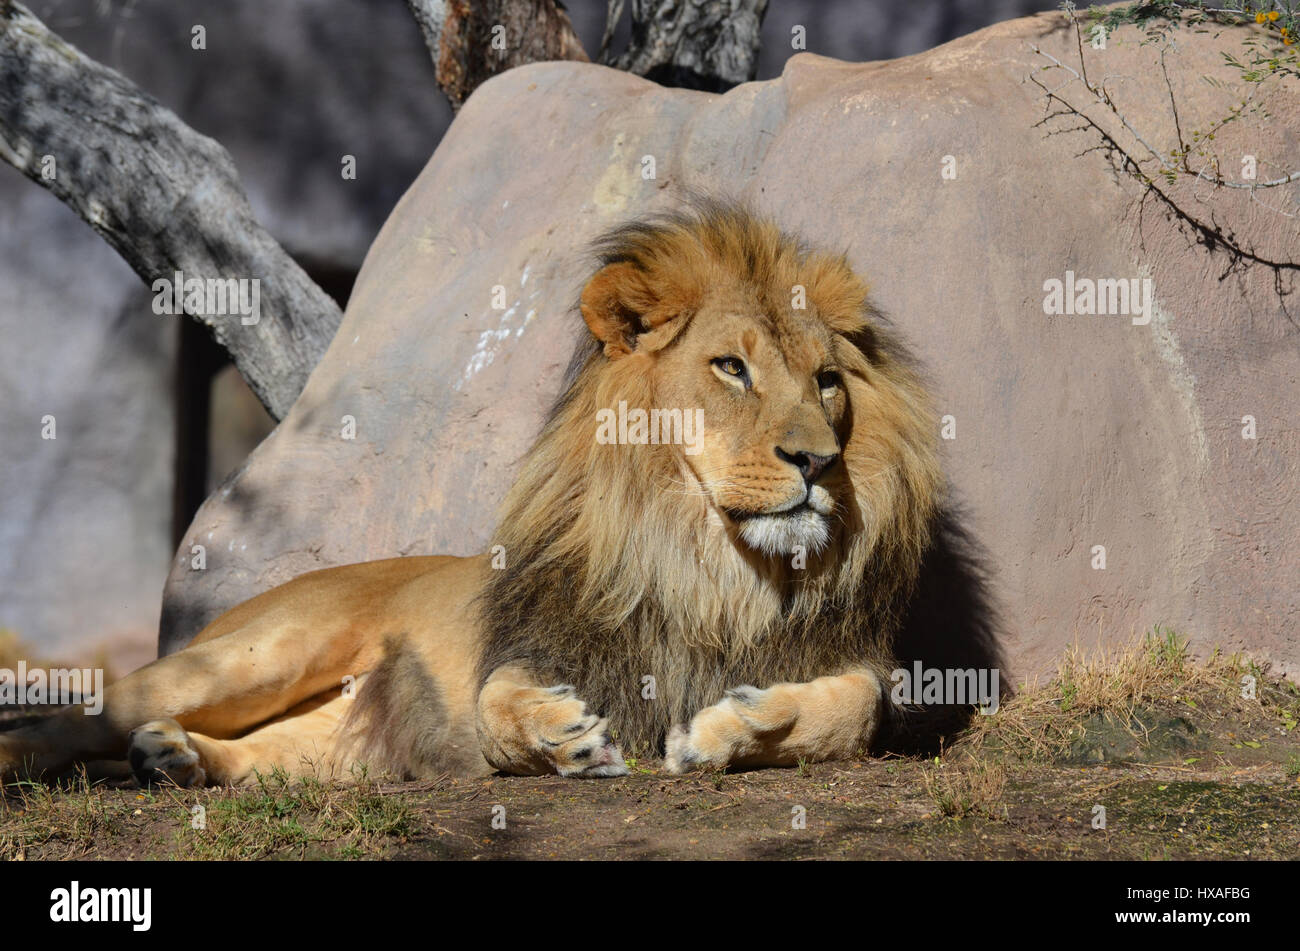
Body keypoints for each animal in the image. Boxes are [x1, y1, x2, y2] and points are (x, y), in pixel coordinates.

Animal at [0, 200, 946, 789]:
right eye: (730, 367)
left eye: (827, 380)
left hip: (330, 744)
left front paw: (733, 727)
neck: (707, 565)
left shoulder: (852, 657)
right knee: (78, 716)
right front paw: (560, 736)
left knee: (252, 753)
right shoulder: (544, 636)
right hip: (255, 655)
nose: (817, 460)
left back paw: (175, 759)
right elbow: (496, 700)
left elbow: (853, 711)